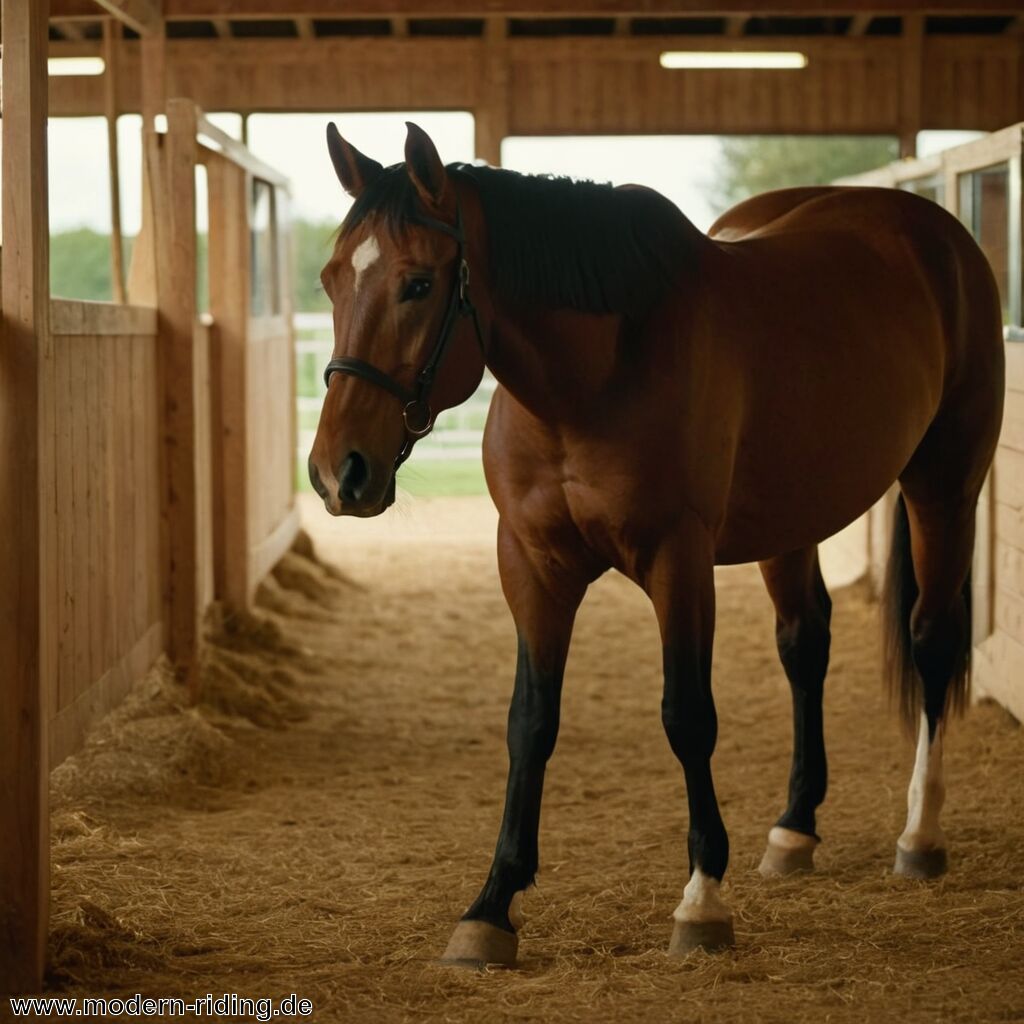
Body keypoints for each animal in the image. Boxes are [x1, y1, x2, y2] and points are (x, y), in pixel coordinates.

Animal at [308, 122, 1005, 966]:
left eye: (416, 284)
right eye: (331, 280)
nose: (339, 472)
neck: (593, 377)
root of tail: (931, 232)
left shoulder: (679, 561)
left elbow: (687, 715)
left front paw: (702, 901)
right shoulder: (532, 565)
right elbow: (530, 721)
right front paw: (492, 906)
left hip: (945, 483)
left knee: (932, 638)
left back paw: (919, 834)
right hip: (792, 523)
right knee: (805, 644)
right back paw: (794, 829)